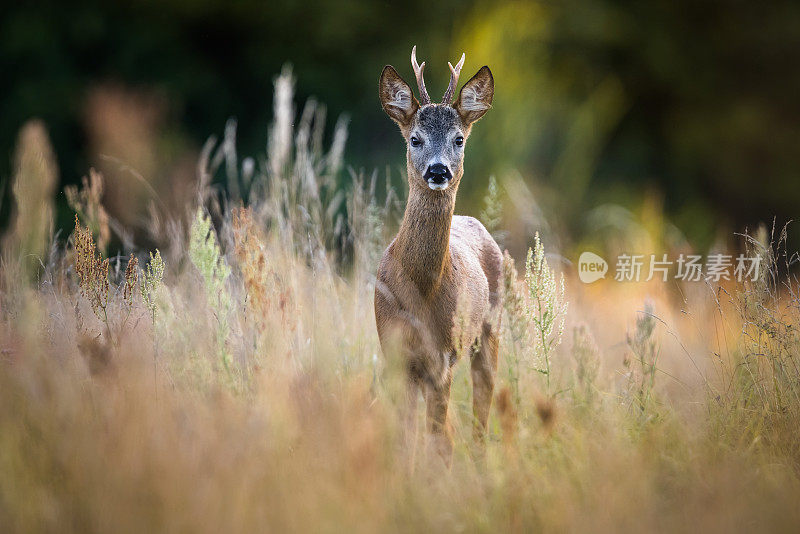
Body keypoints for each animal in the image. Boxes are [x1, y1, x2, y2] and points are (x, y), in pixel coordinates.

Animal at [376, 45, 500, 464]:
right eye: (415, 139)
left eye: (458, 139)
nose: (438, 170)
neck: (421, 288)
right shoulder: (395, 352)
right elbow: (405, 436)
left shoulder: (442, 357)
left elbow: (433, 438)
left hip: (489, 330)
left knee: (481, 406)